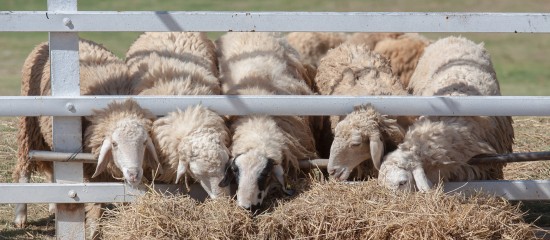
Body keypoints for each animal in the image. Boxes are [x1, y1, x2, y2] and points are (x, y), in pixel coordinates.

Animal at [12, 39, 162, 231]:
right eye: (114, 144)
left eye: (144, 143)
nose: (134, 174)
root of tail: (43, 43)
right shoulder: (90, 172)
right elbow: (95, 205)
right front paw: (92, 229)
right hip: (29, 126)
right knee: (24, 169)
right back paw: (20, 216)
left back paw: (53, 206)